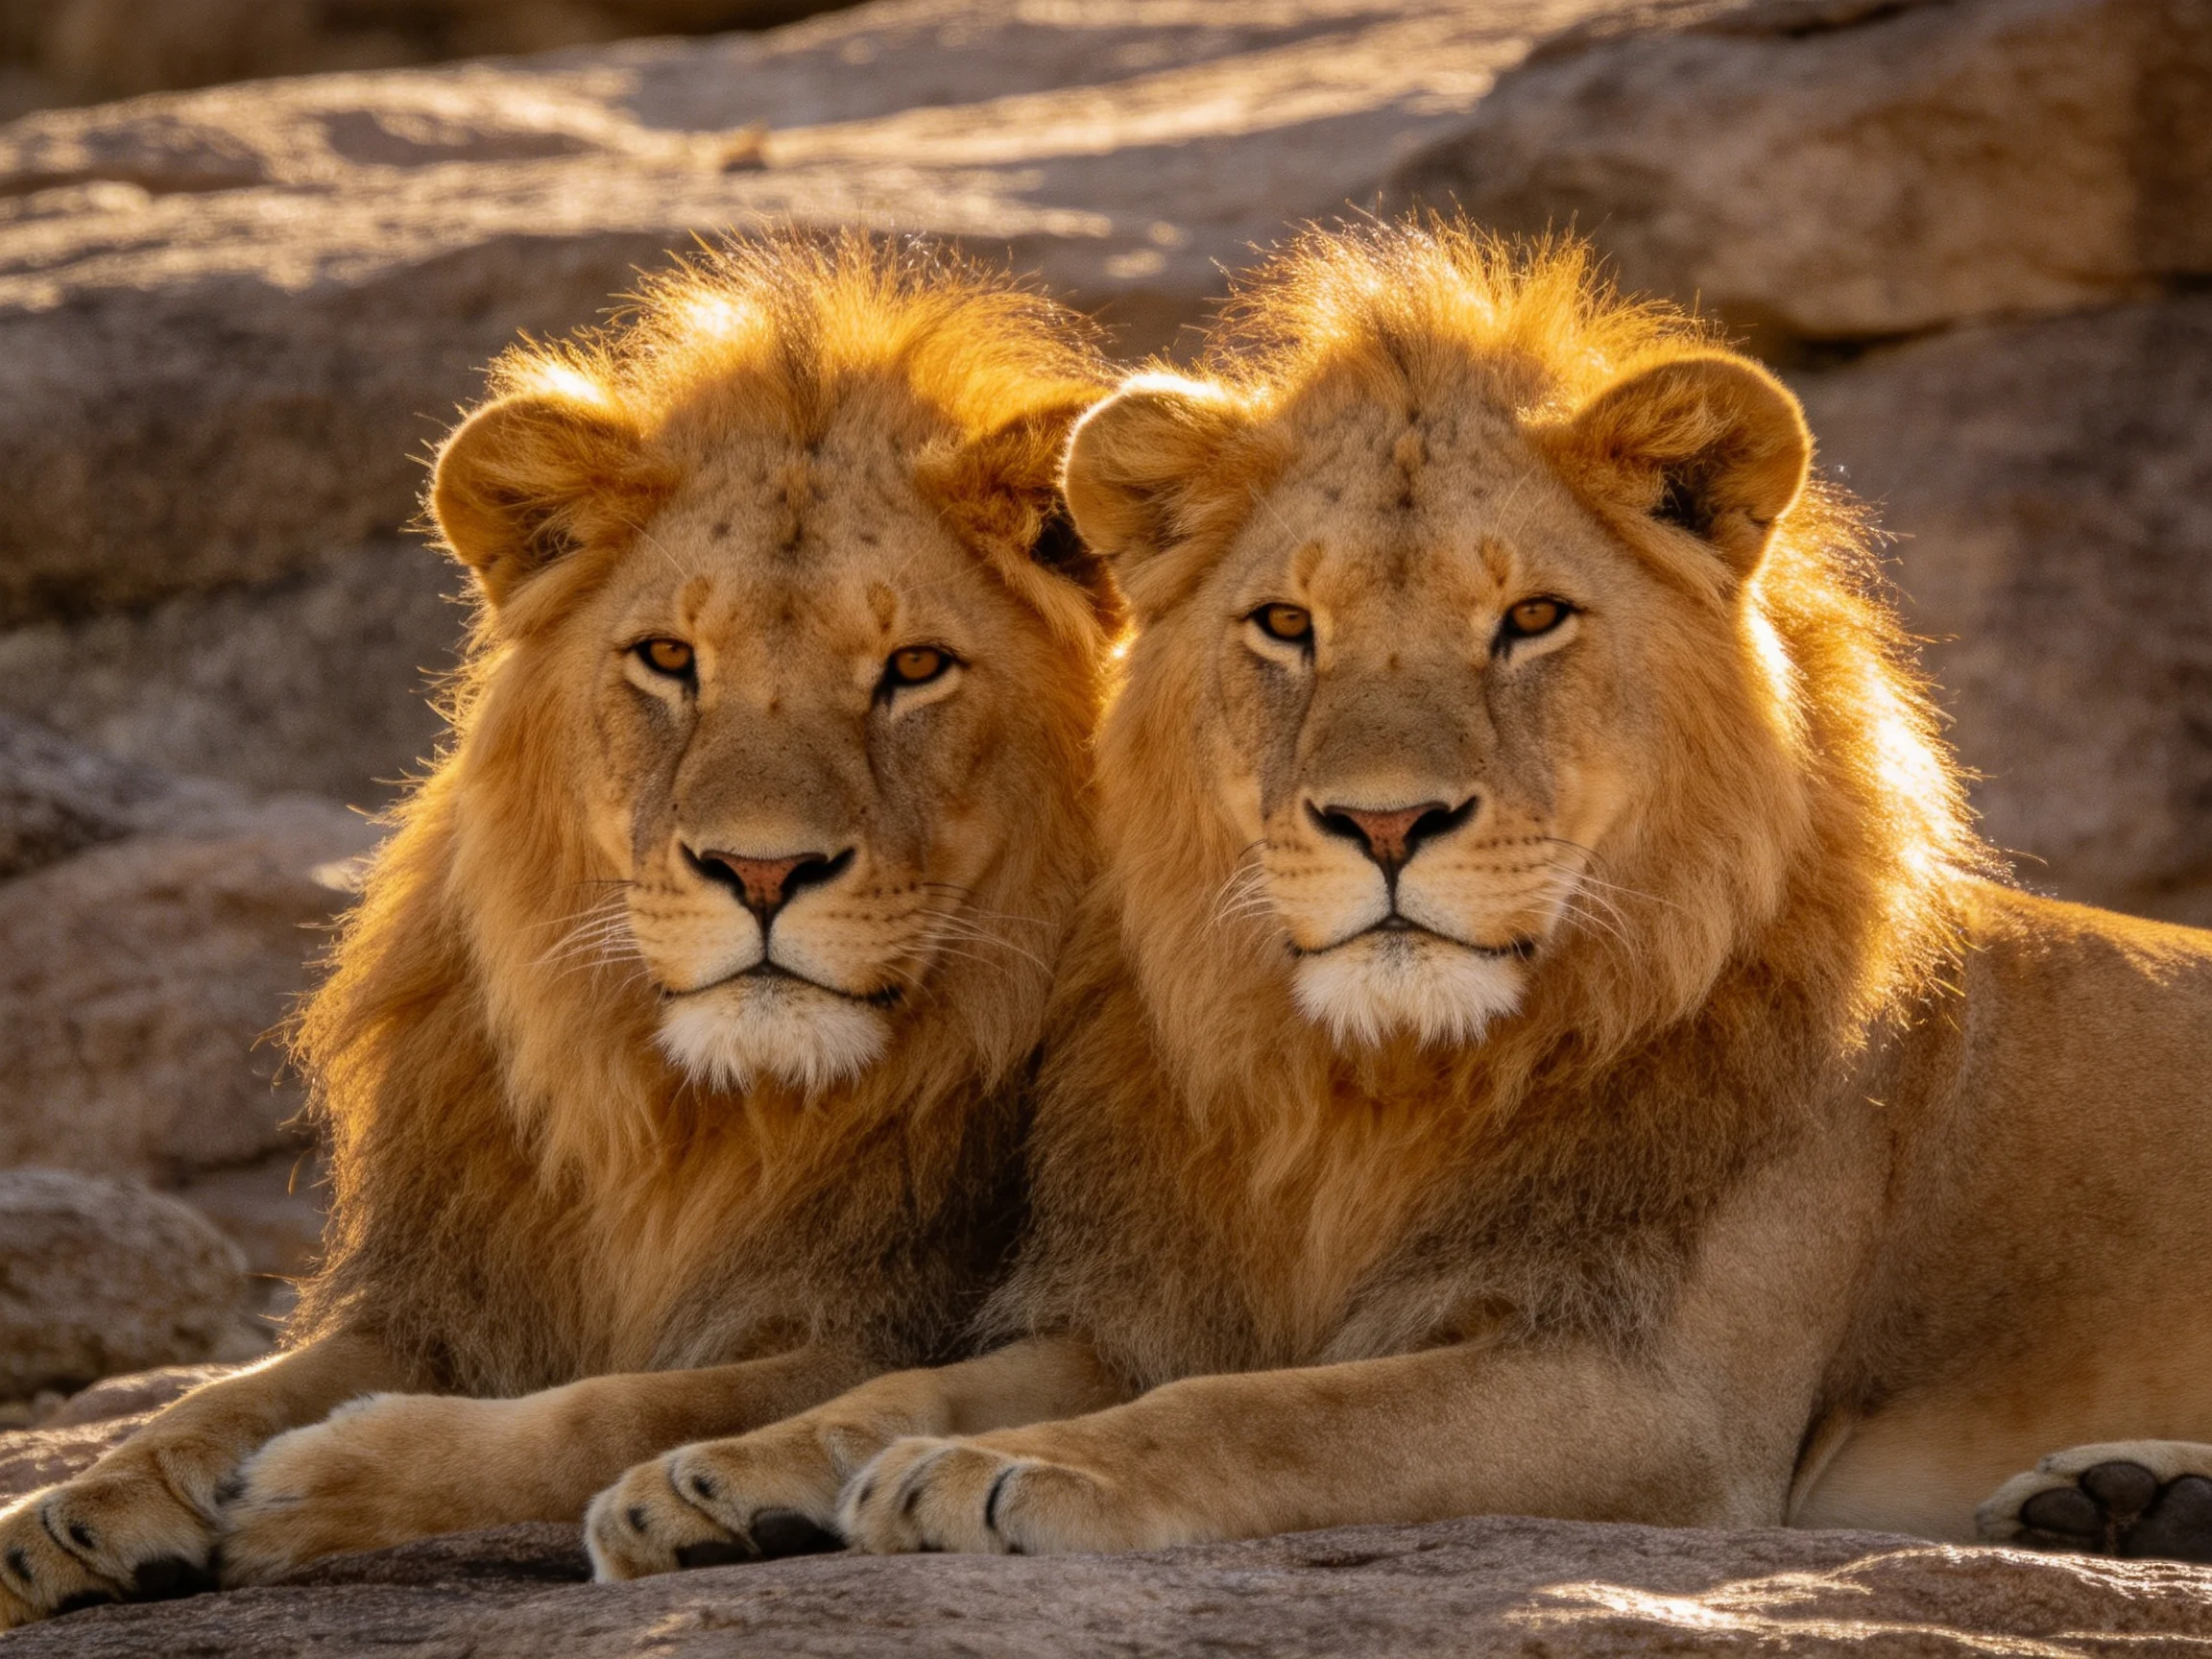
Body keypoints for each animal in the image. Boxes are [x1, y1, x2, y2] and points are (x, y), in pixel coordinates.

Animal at [0, 232, 1118, 1627]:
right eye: (667, 658)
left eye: (915, 668)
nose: (761, 868)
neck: (707, 1123)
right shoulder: (452, 1287)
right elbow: (228, 1392)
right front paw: (80, 1504)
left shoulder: (904, 1316)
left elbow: (633, 1405)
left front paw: (322, 1481)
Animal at [581, 221, 2212, 1579]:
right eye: (1287, 625)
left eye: (1533, 619)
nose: (1383, 823)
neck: (1375, 1094)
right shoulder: (1146, 1310)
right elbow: (899, 1383)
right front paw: (712, 1478)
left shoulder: (1658, 1399)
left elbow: (1278, 1413)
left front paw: (1007, 1473)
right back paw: (2119, 1502)